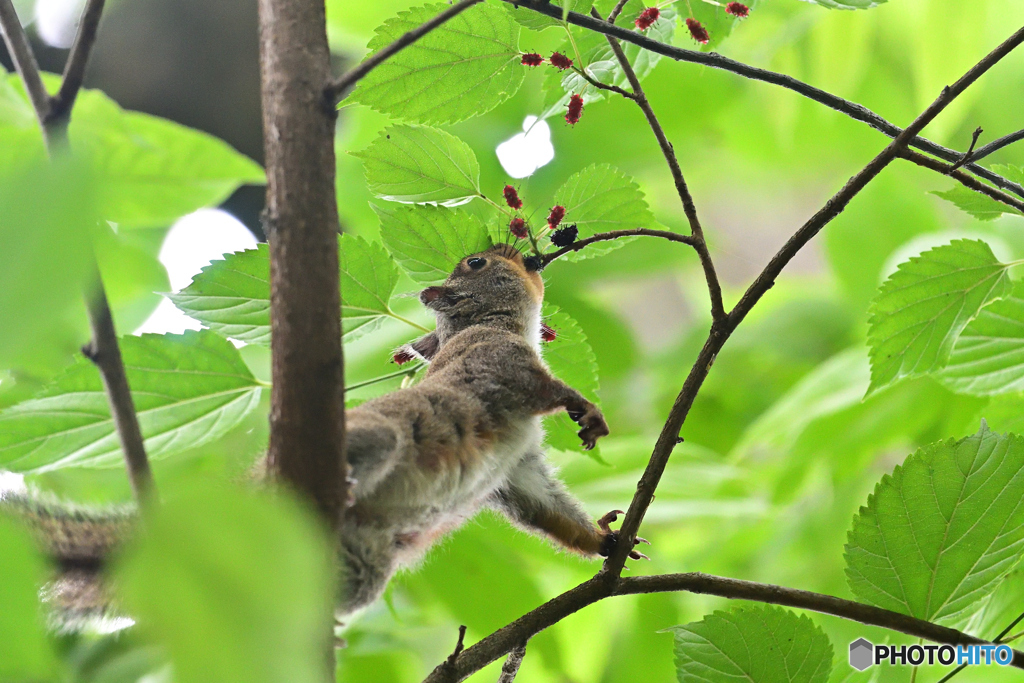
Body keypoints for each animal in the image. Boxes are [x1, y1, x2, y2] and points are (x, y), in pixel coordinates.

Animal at [0, 244, 643, 618]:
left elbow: (547, 512)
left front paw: (605, 539)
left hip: (361, 568)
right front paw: (586, 409)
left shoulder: (517, 470)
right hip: (377, 436)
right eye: (478, 265)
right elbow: (549, 390)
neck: (486, 326)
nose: (516, 248)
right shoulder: (500, 366)